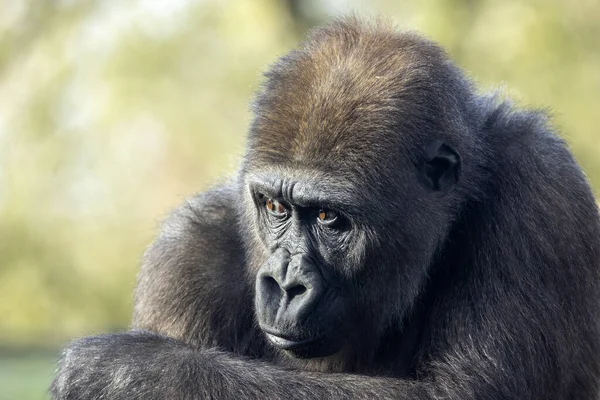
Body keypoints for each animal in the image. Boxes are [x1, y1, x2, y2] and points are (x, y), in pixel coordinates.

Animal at [51, 17, 600, 398]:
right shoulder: (182, 256)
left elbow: (460, 392)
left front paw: (129, 373)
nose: (284, 284)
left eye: (328, 217)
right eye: (275, 206)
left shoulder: (540, 189)